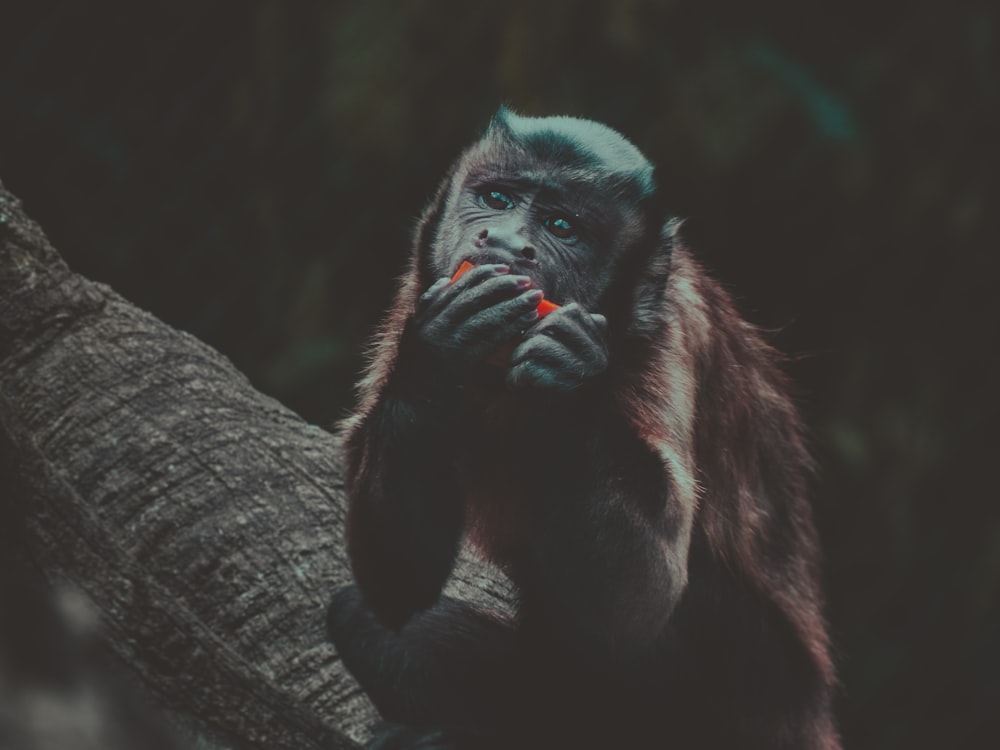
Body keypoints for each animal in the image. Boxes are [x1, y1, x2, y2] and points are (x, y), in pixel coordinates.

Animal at [326, 107, 836, 750]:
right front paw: (440, 354)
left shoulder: (663, 334)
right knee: (364, 618)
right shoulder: (414, 299)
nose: (506, 242)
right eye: (496, 199)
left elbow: (638, 609)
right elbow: (395, 589)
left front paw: (567, 383)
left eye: (560, 227)